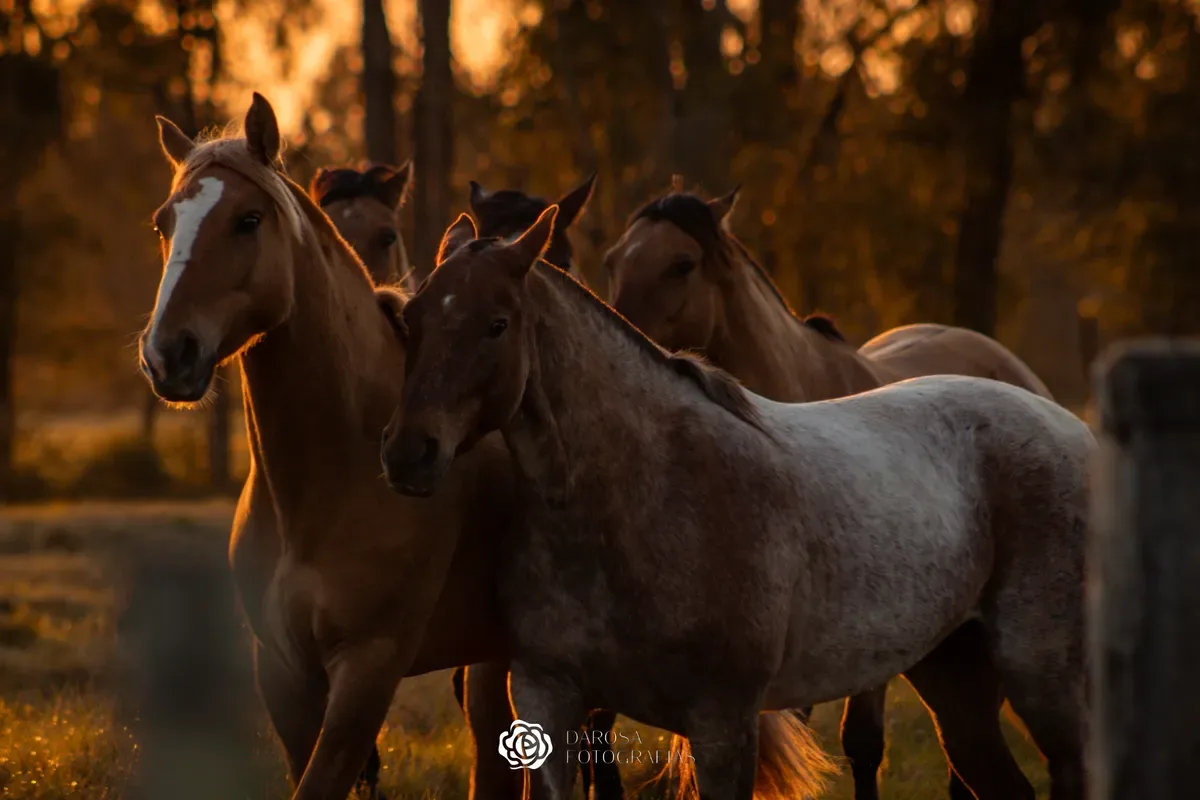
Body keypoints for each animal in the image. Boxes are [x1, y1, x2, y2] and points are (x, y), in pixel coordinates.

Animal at [380, 207, 1091, 800]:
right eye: (411, 320)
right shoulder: (547, 697)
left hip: (1045, 685)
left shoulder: (723, 722)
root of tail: (1066, 423)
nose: (408, 452)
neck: (642, 496)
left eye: (496, 325)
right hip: (955, 680)